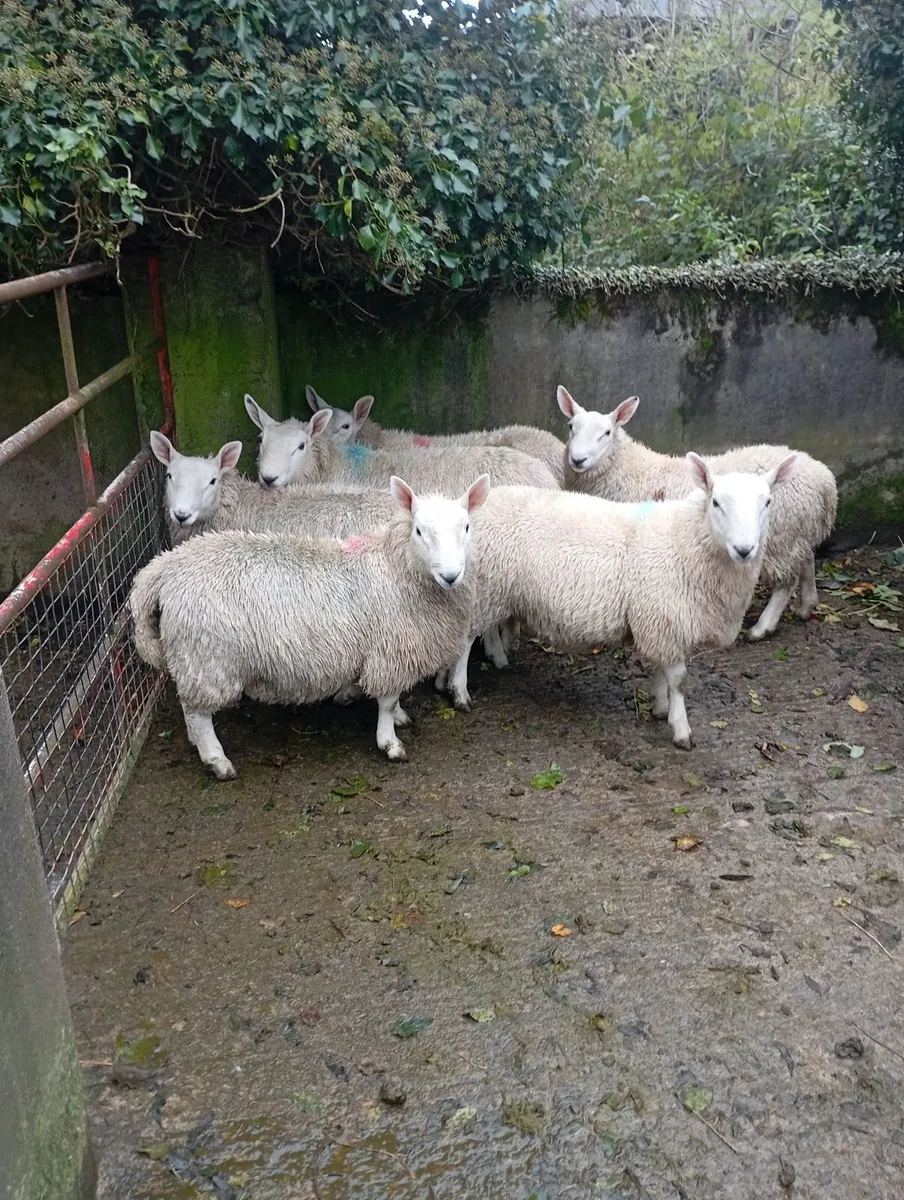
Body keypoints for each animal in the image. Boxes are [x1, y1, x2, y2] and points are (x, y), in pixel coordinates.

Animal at [129, 474, 490, 779]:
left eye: (467, 527)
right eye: (418, 531)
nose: (451, 576)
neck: (396, 567)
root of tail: (165, 566)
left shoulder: (390, 653)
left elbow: (393, 697)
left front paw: (398, 716)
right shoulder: (389, 651)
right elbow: (386, 702)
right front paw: (390, 742)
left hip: (196, 658)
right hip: (206, 656)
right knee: (197, 713)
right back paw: (217, 761)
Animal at [437, 451, 798, 749]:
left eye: (768, 502)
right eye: (717, 502)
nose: (745, 550)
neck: (686, 540)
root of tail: (475, 506)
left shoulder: (661, 620)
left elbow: (662, 670)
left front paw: (660, 705)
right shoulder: (664, 616)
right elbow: (679, 679)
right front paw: (681, 728)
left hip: (494, 589)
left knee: (483, 629)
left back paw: (486, 663)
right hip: (485, 586)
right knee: (466, 638)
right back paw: (459, 691)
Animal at [557, 387, 837, 640]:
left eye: (606, 433)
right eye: (571, 427)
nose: (578, 459)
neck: (629, 470)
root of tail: (825, 481)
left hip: (782, 538)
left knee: (786, 581)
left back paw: (761, 628)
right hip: (798, 532)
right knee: (807, 559)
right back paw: (807, 605)